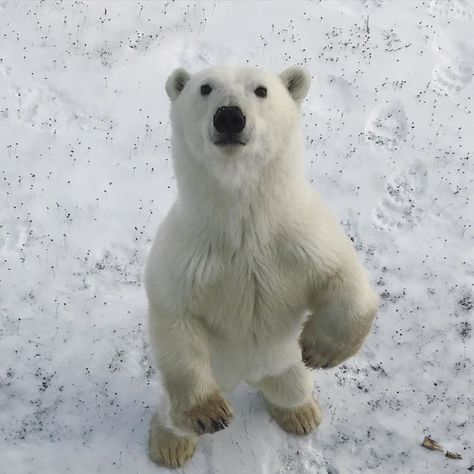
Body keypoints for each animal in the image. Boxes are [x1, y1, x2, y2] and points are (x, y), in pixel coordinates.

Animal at [144, 65, 378, 468]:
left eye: (261, 90)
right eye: (204, 88)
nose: (229, 117)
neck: (245, 221)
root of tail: (248, 375)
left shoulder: (301, 237)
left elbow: (345, 278)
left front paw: (321, 349)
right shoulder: (188, 253)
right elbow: (173, 312)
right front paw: (208, 413)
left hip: (285, 365)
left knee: (292, 387)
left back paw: (302, 414)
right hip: (217, 367)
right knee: (171, 407)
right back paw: (170, 445)